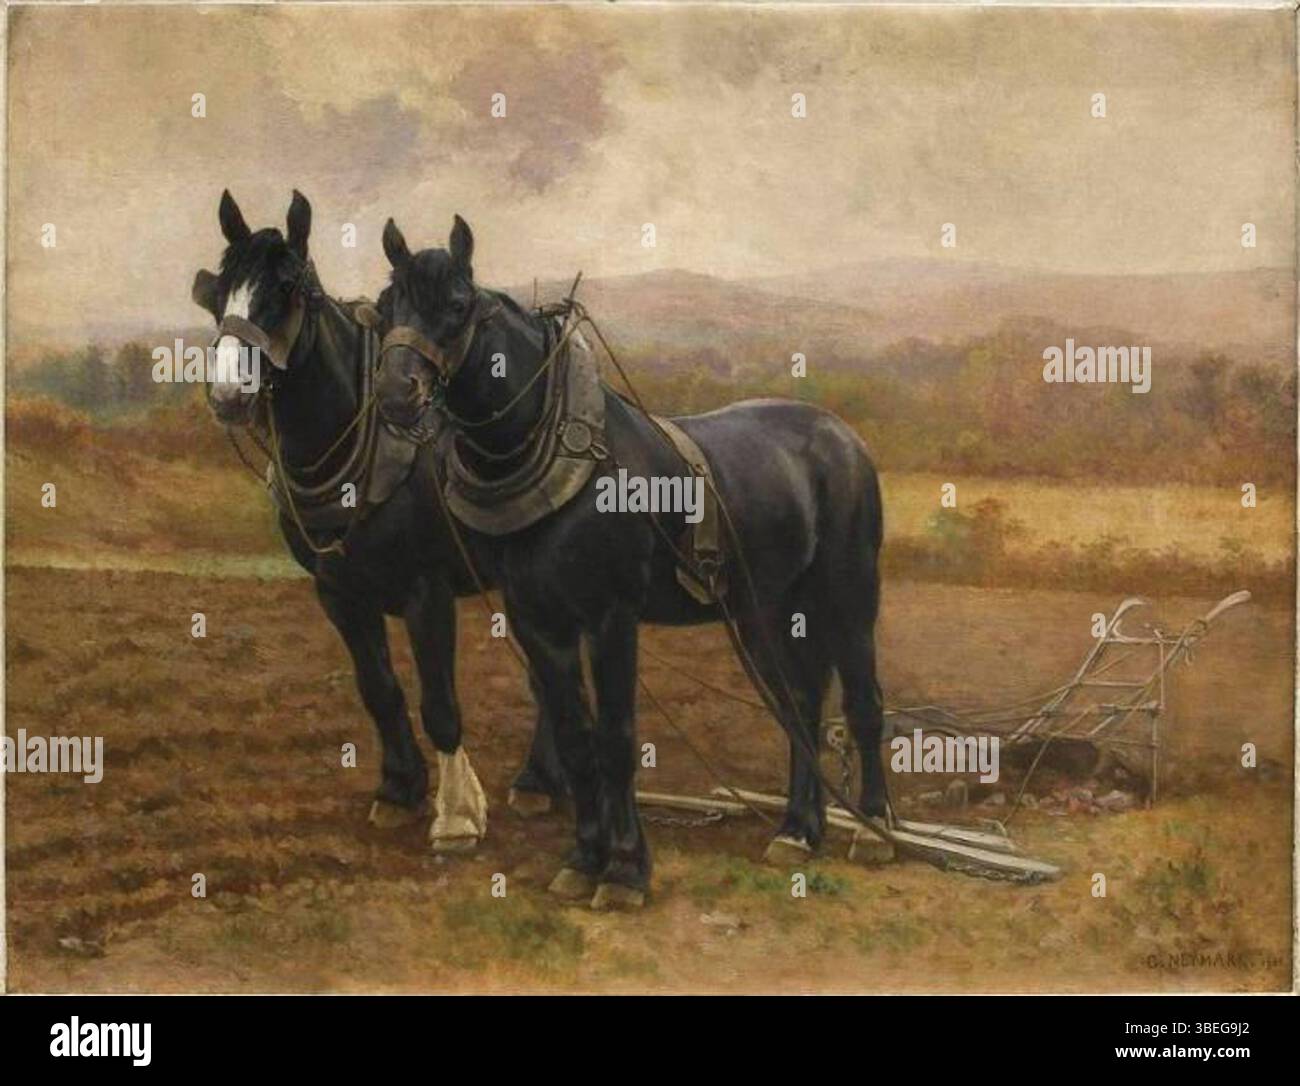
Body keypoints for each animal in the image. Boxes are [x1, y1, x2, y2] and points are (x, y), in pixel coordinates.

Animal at [189, 190, 568, 849]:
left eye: (285, 288)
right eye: (220, 294)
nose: (230, 397)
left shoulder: (427, 592)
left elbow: (438, 701)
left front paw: (457, 812)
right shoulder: (338, 592)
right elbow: (380, 691)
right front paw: (398, 788)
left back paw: (542, 781)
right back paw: (542, 779)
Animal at [375, 214, 887, 908]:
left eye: (456, 306)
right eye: (384, 308)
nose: (396, 394)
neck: (565, 461)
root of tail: (843, 437)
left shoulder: (611, 619)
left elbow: (616, 738)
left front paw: (623, 871)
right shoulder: (539, 623)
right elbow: (575, 737)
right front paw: (582, 860)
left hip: (847, 598)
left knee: (863, 701)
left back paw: (875, 829)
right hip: (765, 609)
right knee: (800, 703)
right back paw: (798, 831)